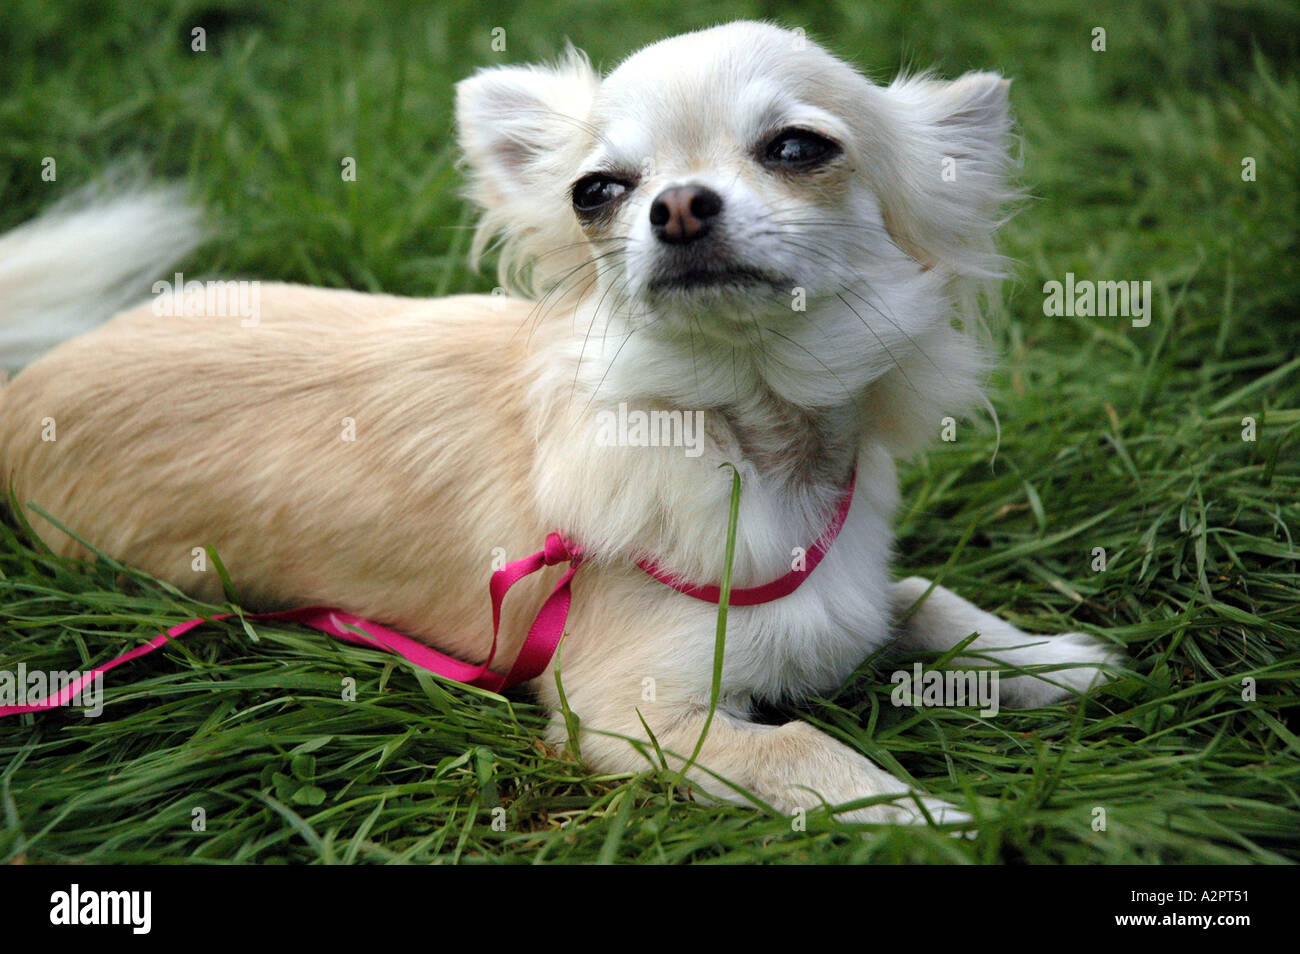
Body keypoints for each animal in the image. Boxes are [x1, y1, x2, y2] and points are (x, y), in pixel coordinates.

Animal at [0, 22, 1118, 831]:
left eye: (800, 148)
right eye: (597, 192)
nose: (677, 207)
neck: (743, 436)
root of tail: (21, 388)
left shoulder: (845, 587)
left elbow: (922, 597)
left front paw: (1052, 661)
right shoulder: (632, 717)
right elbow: (798, 744)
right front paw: (928, 816)